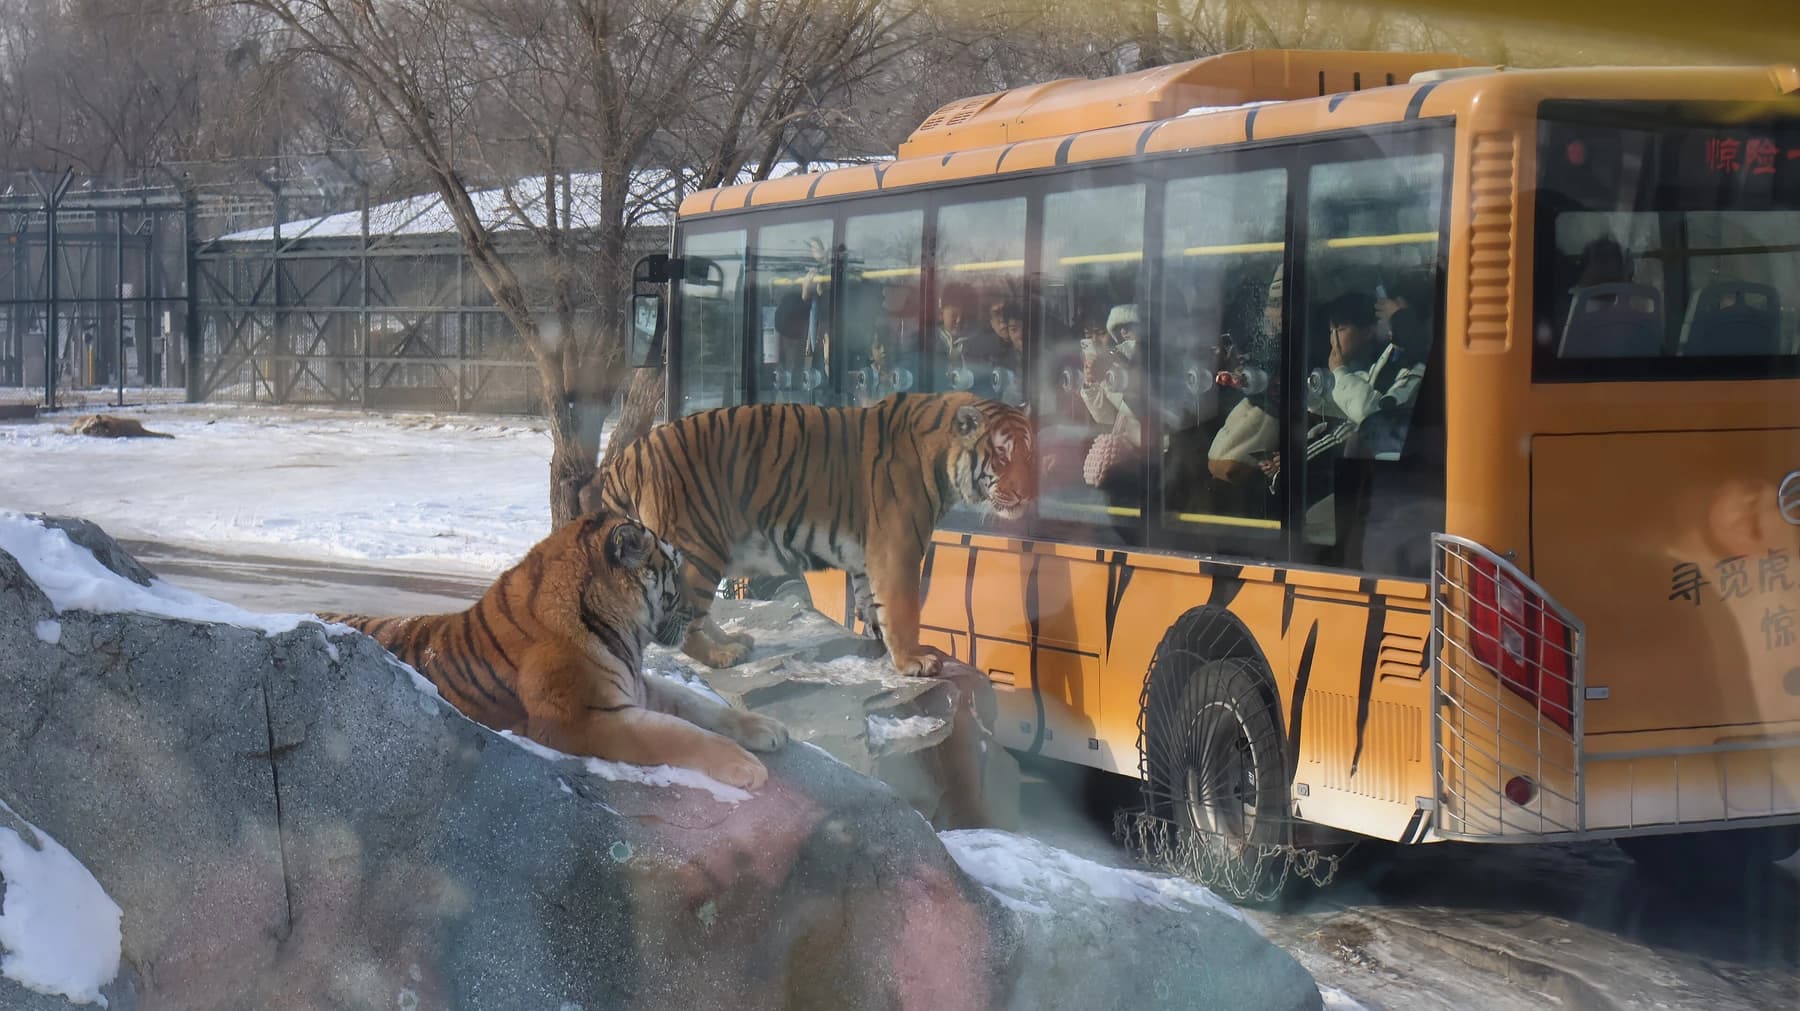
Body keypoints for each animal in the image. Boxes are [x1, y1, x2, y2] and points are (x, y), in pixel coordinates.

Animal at [317, 510, 789, 790]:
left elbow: (701, 706)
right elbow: (683, 733)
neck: (624, 632)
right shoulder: (584, 718)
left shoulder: (638, 686)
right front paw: (747, 767)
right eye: (673, 569)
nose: (698, 609)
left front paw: (767, 727)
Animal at [578, 391, 1034, 678]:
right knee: (682, 620)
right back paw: (721, 655)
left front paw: (876, 643)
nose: (1027, 494)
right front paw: (912, 662)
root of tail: (630, 452)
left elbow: (871, 602)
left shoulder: (870, 556)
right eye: (1002, 455)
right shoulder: (898, 548)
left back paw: (734, 639)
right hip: (697, 546)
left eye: (1029, 454)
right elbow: (903, 609)